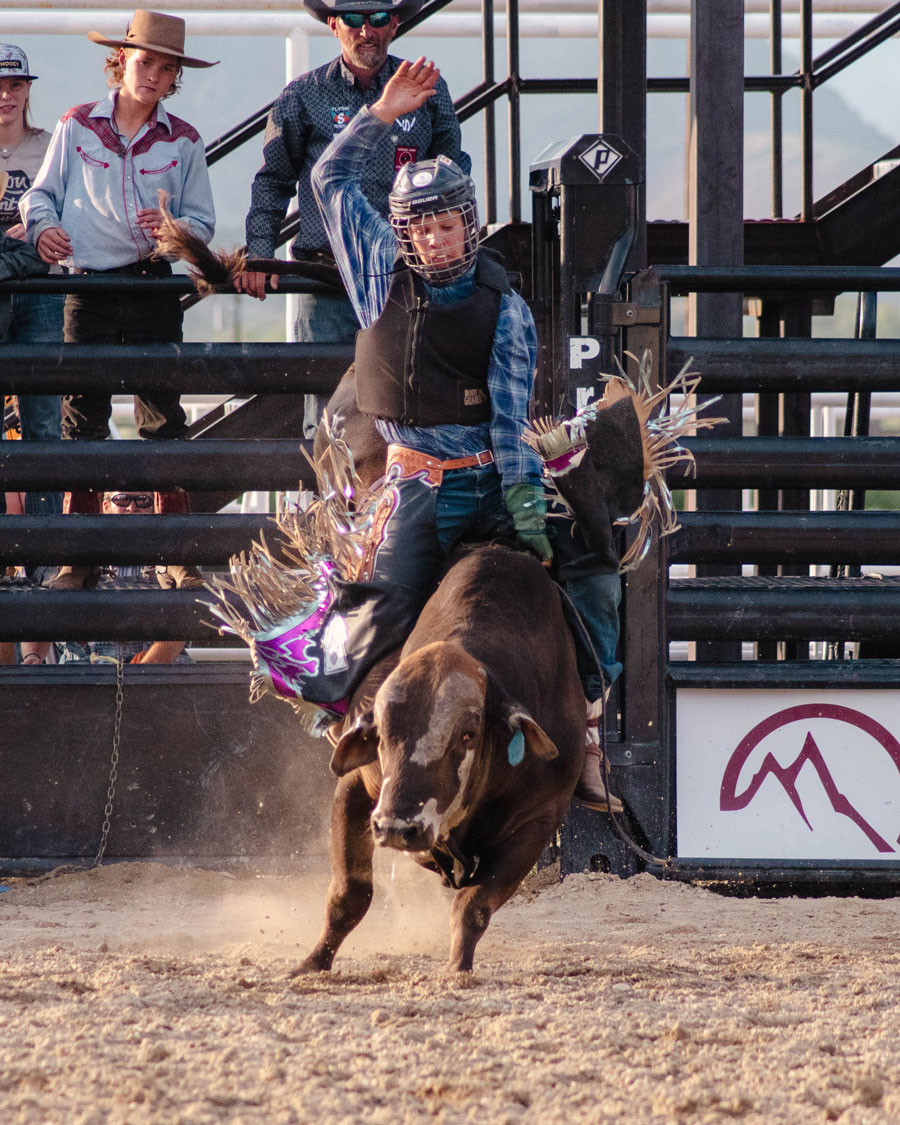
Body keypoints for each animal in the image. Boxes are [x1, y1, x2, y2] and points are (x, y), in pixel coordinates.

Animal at [292, 542, 585, 975]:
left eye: (468, 734)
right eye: (381, 733)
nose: (397, 827)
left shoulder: (540, 818)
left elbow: (473, 906)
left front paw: (458, 967)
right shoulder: (358, 787)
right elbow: (349, 895)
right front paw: (312, 963)